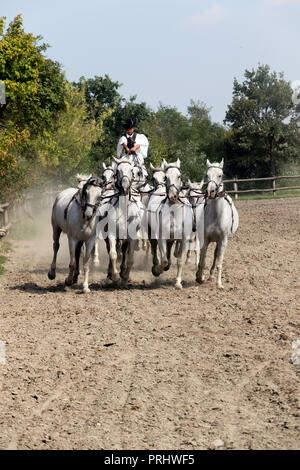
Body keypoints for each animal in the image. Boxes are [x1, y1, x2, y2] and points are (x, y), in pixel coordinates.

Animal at [196, 160, 240, 288]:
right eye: (207, 175)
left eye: (220, 175)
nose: (210, 192)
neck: (216, 215)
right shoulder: (205, 239)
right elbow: (202, 261)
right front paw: (200, 278)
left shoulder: (223, 240)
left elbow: (219, 262)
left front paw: (219, 284)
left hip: (219, 241)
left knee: (216, 255)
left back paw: (212, 276)